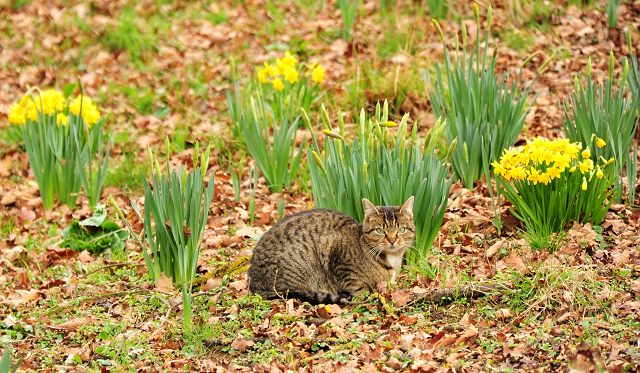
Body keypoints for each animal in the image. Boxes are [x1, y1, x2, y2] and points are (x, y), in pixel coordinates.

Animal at [245, 196, 416, 304]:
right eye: (380, 230)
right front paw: (366, 298)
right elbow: (359, 288)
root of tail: (253, 283)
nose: (392, 240)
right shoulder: (341, 265)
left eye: (401, 230)